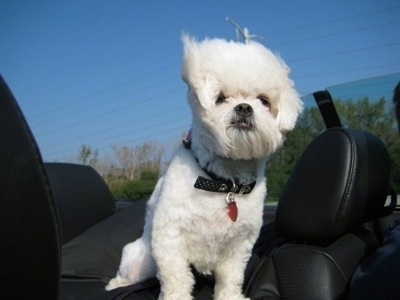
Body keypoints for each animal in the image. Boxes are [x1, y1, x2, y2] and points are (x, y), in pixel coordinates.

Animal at [106, 34, 304, 298]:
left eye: (263, 101)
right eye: (220, 98)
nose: (244, 107)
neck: (223, 181)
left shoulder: (239, 245)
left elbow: (231, 278)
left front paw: (230, 297)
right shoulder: (169, 238)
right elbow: (176, 278)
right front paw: (177, 297)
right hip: (142, 260)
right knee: (127, 274)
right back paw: (115, 285)